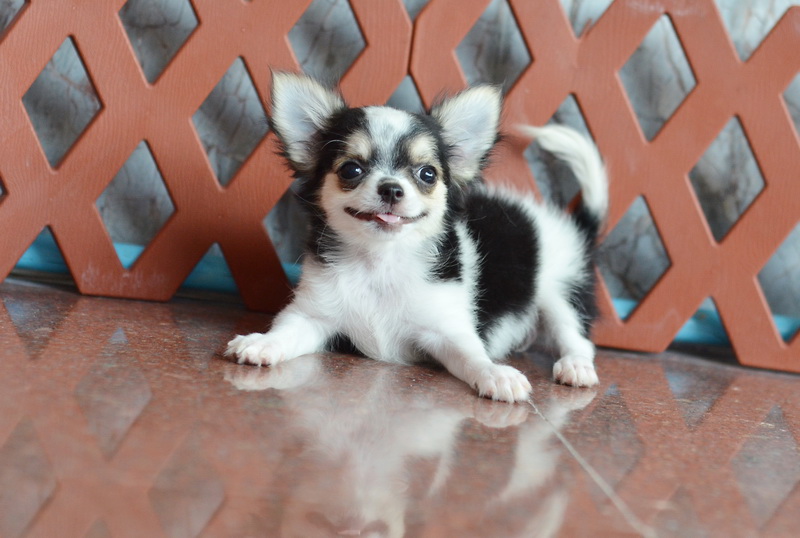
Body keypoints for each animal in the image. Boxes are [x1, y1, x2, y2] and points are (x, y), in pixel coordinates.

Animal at [225, 72, 607, 403]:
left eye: (427, 174)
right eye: (351, 169)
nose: (392, 188)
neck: (380, 263)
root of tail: (571, 224)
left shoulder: (447, 330)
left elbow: (473, 357)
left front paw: (495, 374)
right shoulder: (313, 314)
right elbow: (287, 331)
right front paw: (262, 343)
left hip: (560, 293)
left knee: (577, 337)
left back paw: (575, 367)